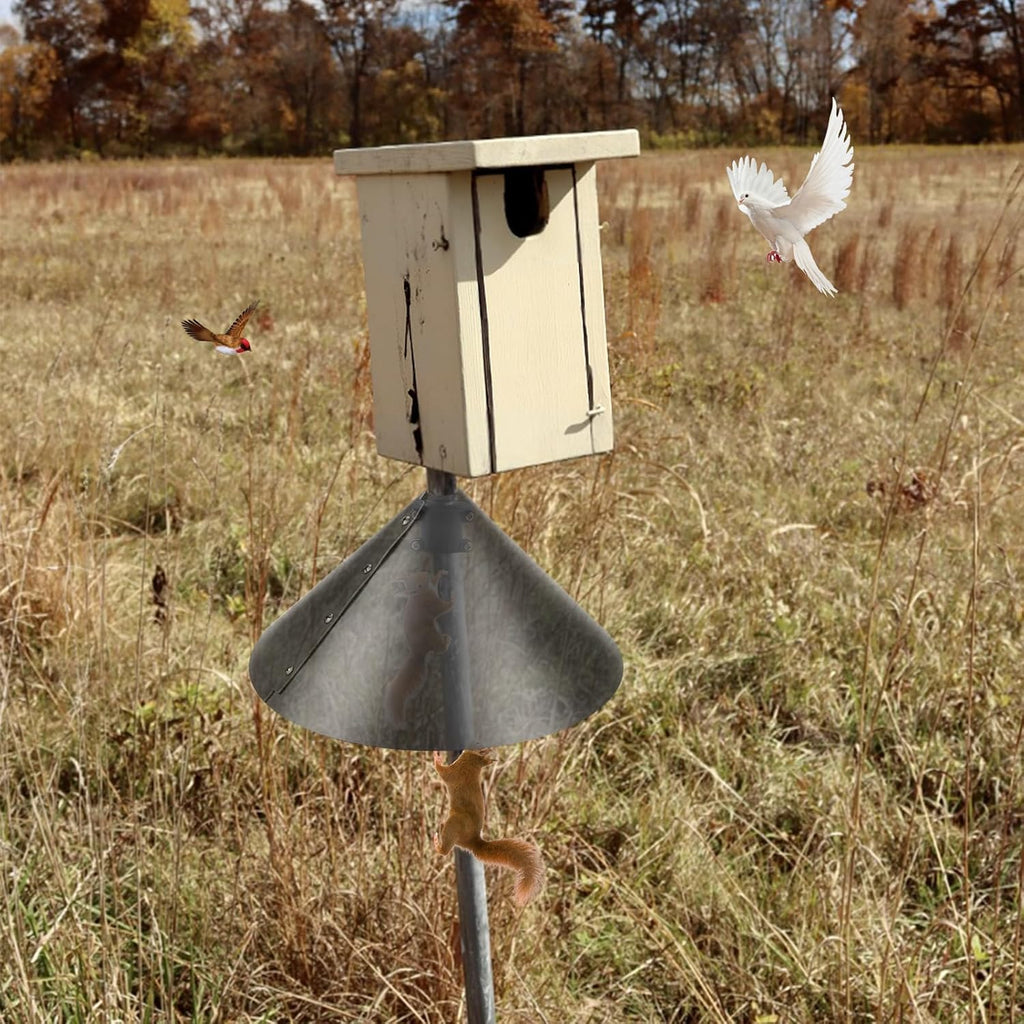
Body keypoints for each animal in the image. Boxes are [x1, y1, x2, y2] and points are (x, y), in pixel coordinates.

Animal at [383, 570, 452, 727]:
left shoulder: (432, 587)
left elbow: (435, 581)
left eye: (416, 573)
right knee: (438, 648)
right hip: (432, 635)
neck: (420, 594)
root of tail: (418, 653)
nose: (425, 575)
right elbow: (442, 608)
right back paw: (446, 642)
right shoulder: (430, 604)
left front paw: (440, 573)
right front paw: (453, 599)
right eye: (417, 586)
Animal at [432, 750, 544, 907]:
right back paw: (440, 826)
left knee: (444, 851)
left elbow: (442, 772)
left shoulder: (455, 772)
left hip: (454, 825)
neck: (473, 765)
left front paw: (437, 758)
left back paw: (437, 841)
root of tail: (473, 841)